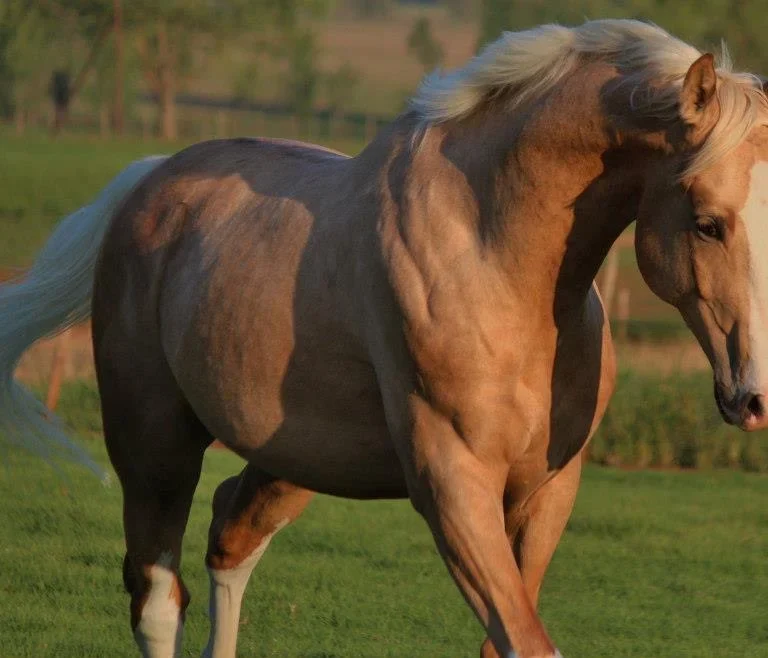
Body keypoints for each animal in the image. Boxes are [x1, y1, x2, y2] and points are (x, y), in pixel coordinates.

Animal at [1, 18, 767, 658]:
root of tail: (148, 182)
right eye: (707, 221)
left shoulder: (548, 492)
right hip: (153, 446)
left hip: (293, 457)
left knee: (231, 538)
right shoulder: (453, 485)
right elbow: (527, 643)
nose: (754, 398)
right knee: (158, 600)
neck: (491, 258)